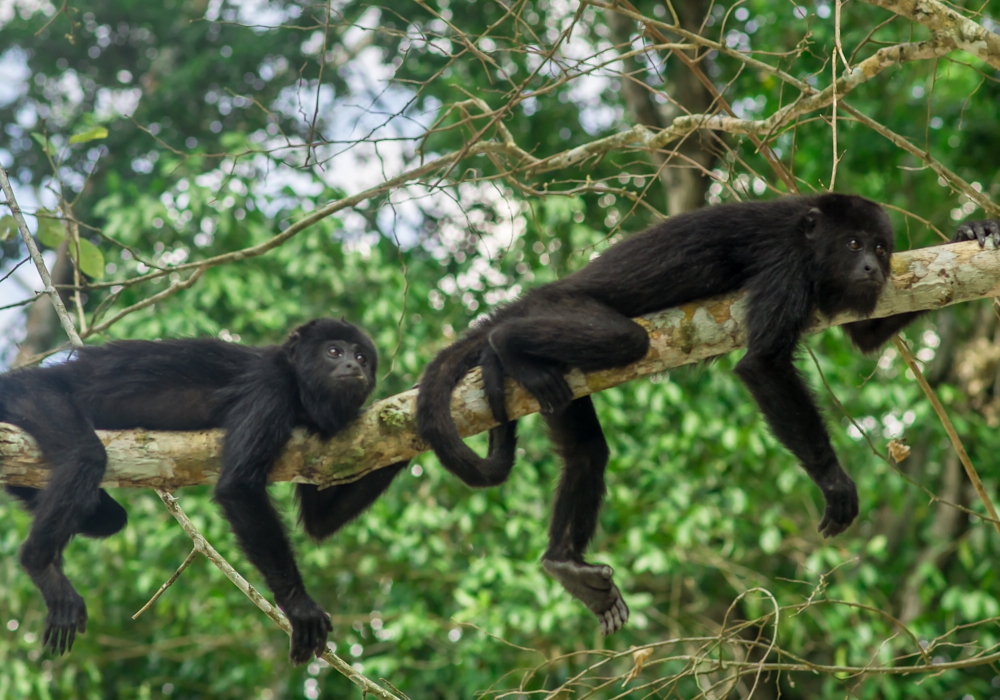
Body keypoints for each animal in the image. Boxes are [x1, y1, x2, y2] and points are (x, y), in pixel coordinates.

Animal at [1, 320, 406, 664]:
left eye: (362, 357)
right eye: (334, 351)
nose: (353, 366)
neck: (299, 384)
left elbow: (318, 522)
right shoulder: (270, 387)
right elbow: (239, 486)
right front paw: (299, 606)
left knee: (109, 517)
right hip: (38, 398)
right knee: (84, 457)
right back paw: (41, 564)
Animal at [416, 194, 1000, 636]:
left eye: (881, 247)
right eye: (854, 244)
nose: (873, 268)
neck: (811, 240)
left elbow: (863, 336)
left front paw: (972, 228)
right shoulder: (785, 263)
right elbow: (763, 365)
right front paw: (834, 482)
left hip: (558, 389)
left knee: (586, 452)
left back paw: (563, 562)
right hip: (563, 309)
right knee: (623, 340)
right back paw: (502, 344)